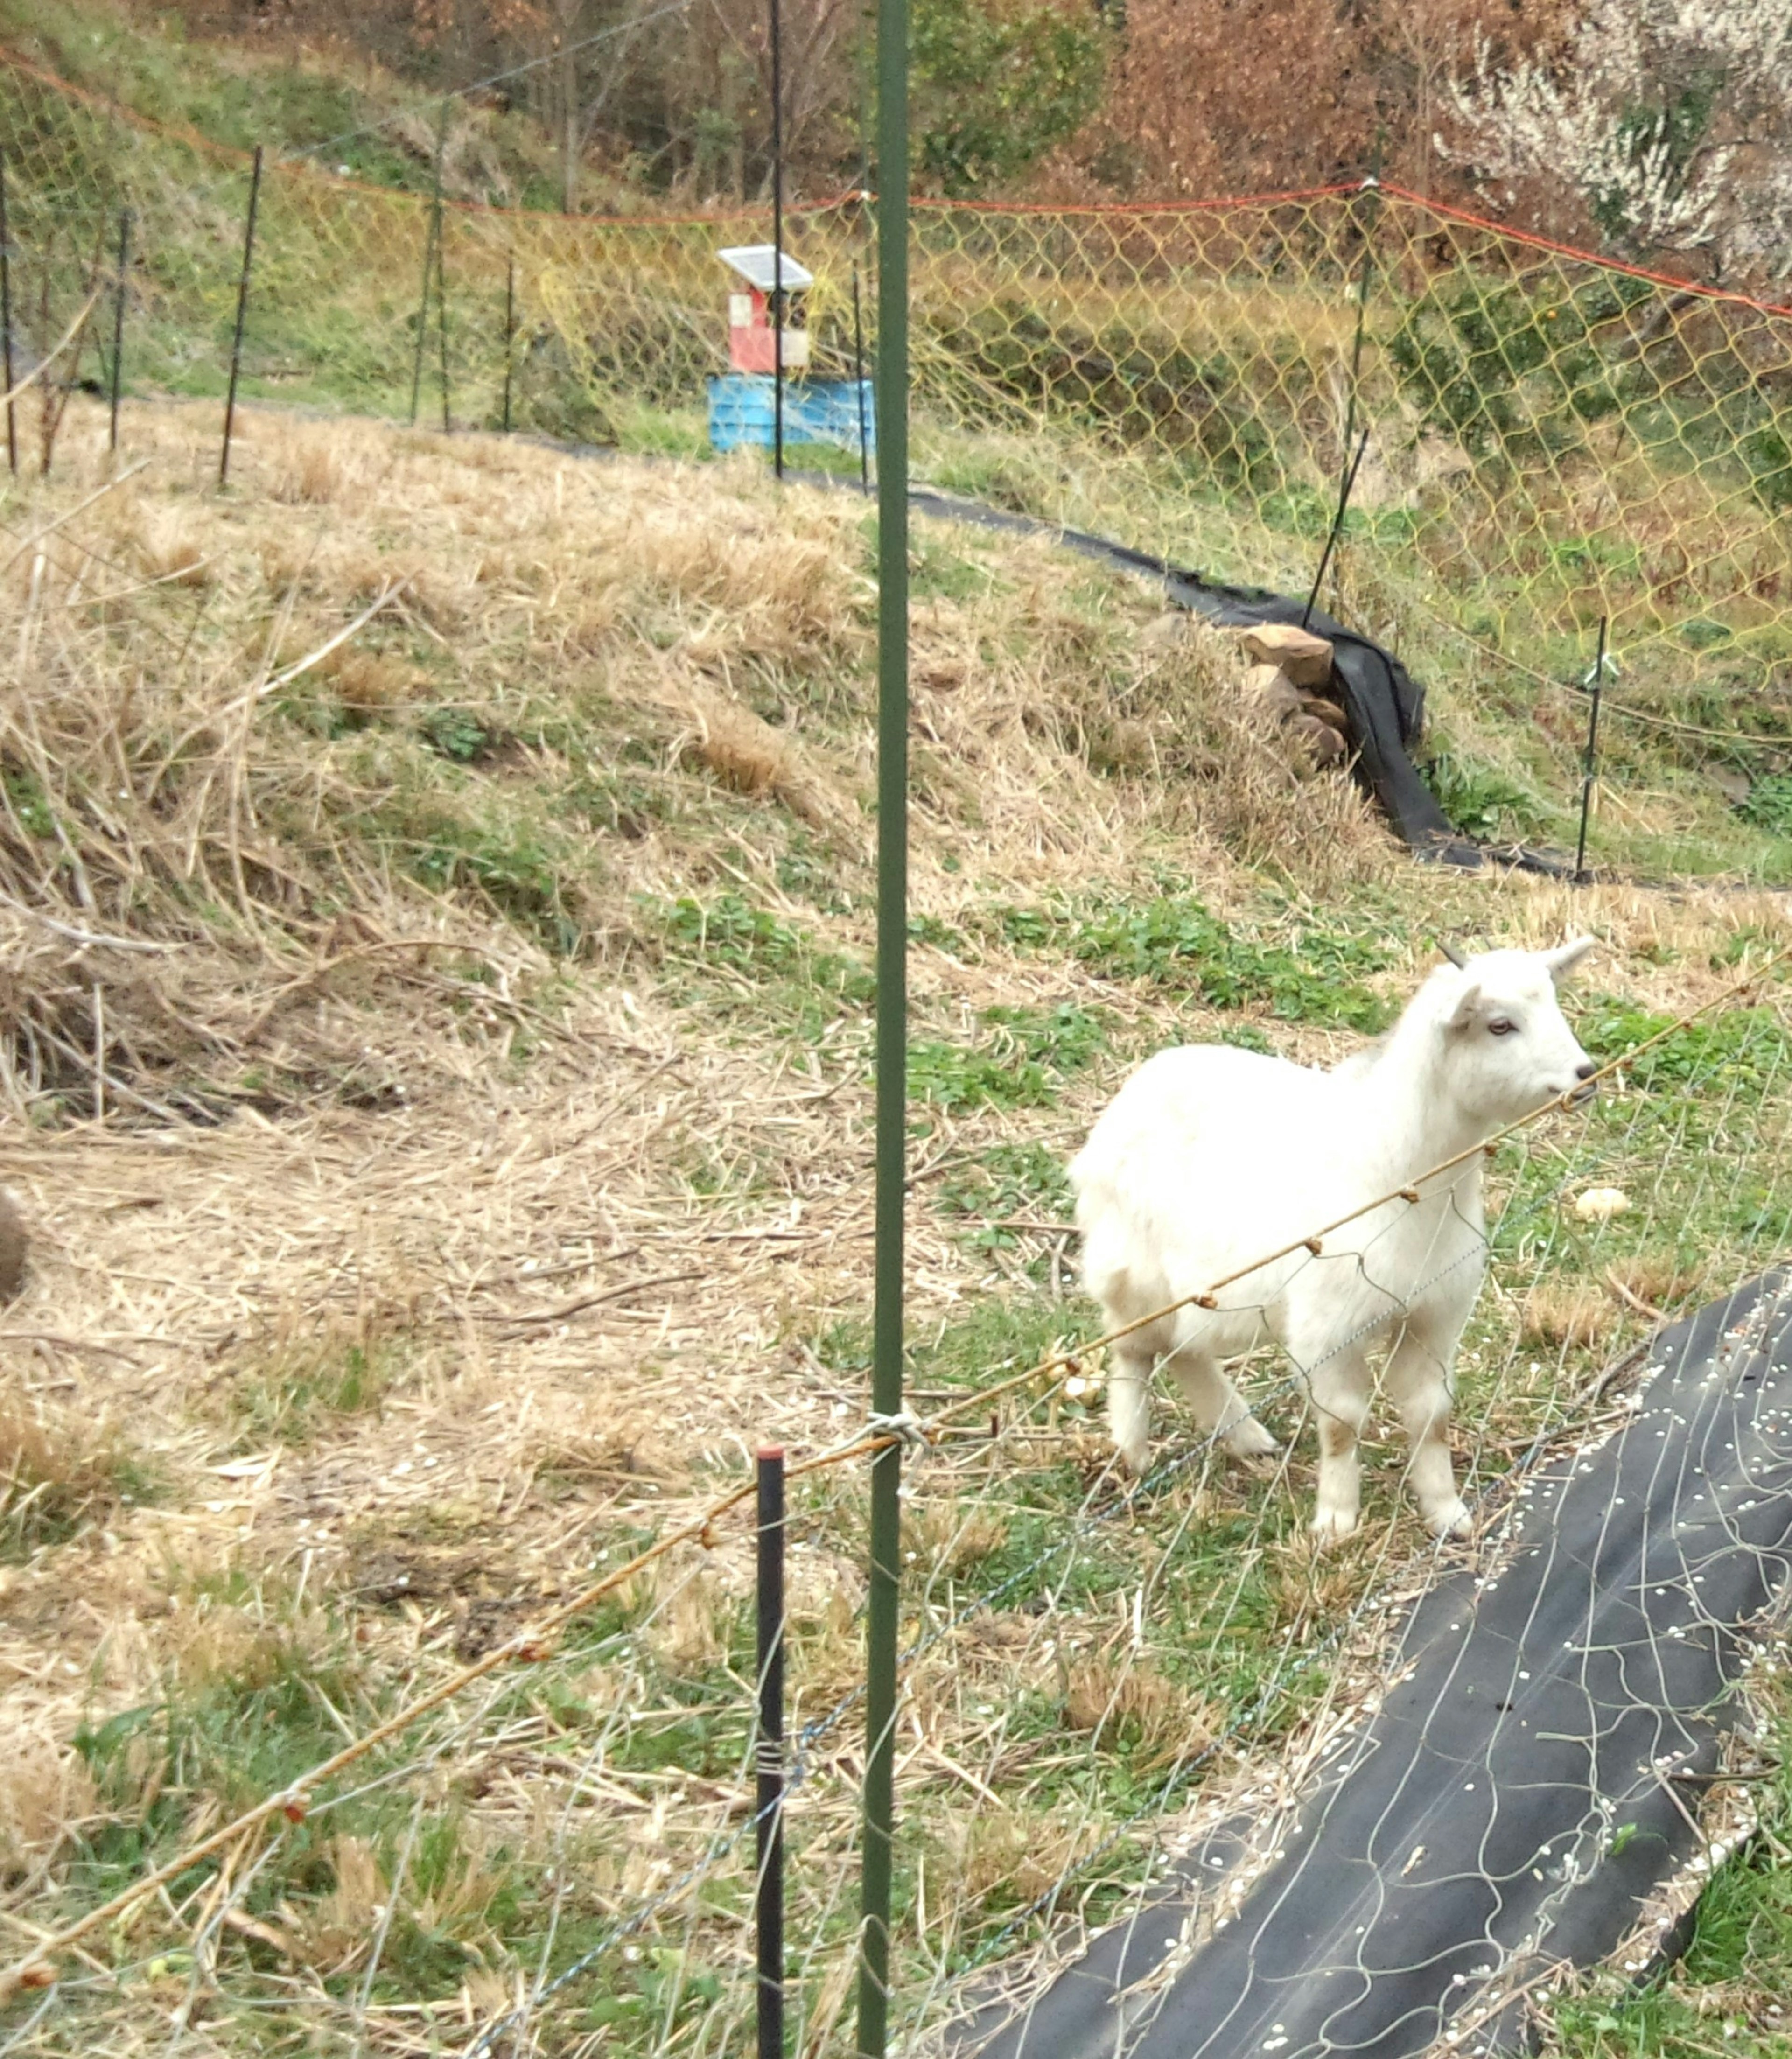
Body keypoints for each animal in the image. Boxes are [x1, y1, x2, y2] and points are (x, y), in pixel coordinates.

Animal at [1071, 943, 1606, 1540]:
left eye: (1555, 1002)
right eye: (1499, 1025)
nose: (1587, 1075)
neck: (1402, 1173)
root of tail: (1144, 1077)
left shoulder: (1434, 1313)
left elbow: (1432, 1414)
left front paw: (1447, 1514)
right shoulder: (1327, 1325)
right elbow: (1341, 1424)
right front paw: (1335, 1521)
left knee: (1185, 1349)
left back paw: (1245, 1436)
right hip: (1132, 1267)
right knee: (1135, 1348)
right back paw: (1132, 1450)